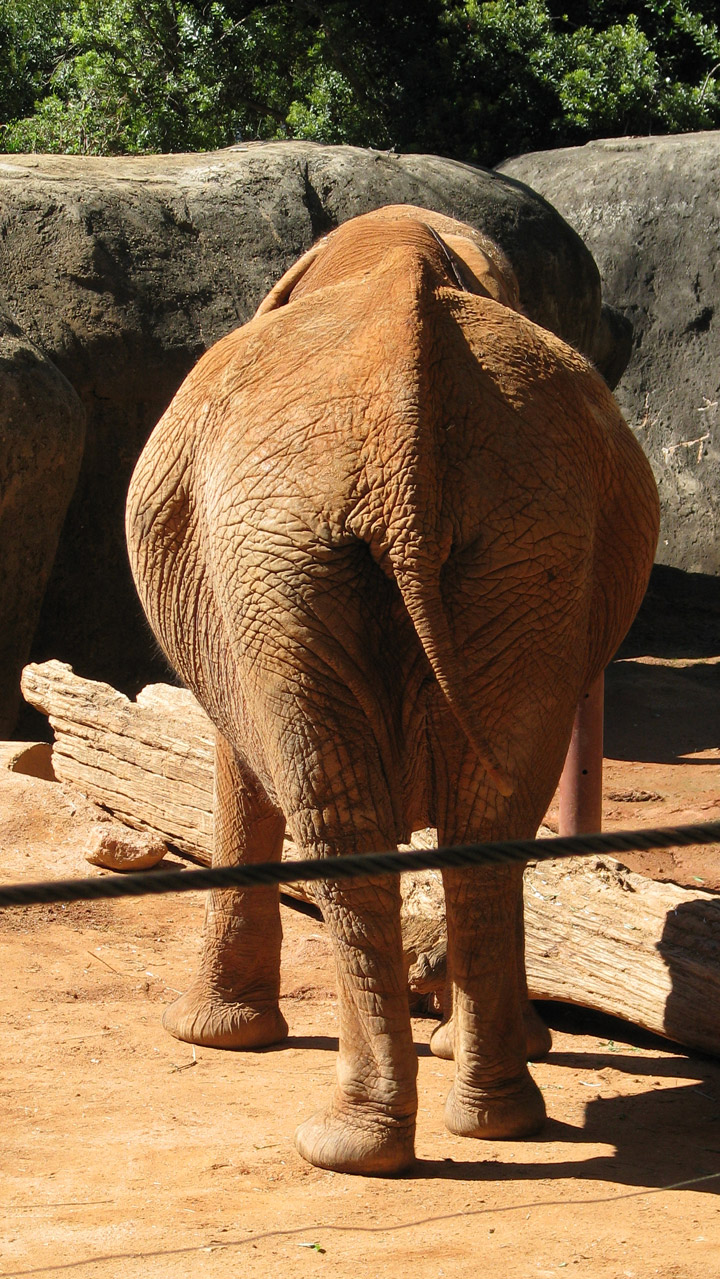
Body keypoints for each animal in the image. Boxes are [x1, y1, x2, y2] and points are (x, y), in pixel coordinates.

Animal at [125, 204, 659, 1171]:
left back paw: (344, 1144)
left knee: (342, 815)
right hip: (524, 540)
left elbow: (237, 768)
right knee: (489, 817)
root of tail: (401, 425)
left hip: (282, 547)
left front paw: (206, 1038)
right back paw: (493, 1118)